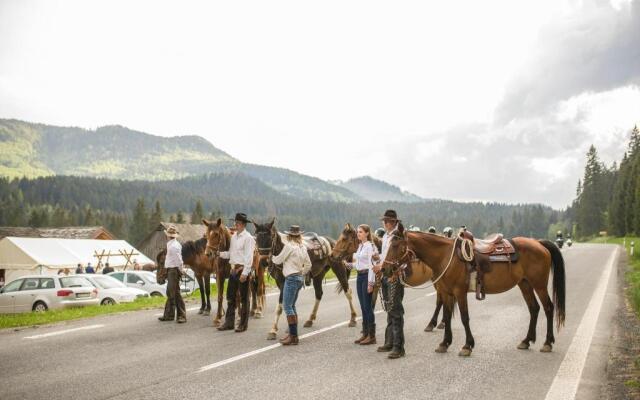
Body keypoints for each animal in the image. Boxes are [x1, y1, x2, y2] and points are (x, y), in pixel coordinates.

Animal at [380, 223, 564, 358]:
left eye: (395, 244)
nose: (384, 269)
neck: (445, 256)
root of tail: (539, 243)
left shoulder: (459, 292)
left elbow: (464, 318)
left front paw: (467, 345)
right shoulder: (446, 293)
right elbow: (447, 316)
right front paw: (444, 343)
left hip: (539, 285)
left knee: (548, 307)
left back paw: (547, 343)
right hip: (524, 284)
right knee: (534, 308)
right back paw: (526, 341)